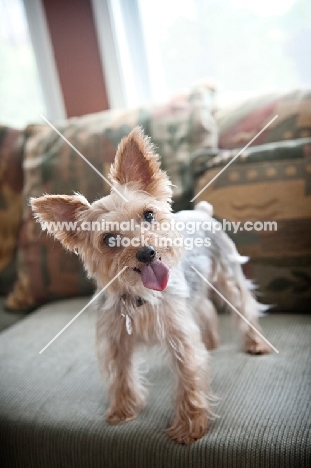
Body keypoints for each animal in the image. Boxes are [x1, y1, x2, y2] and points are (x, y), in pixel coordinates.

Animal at [30, 127, 272, 442]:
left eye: (148, 215)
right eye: (109, 239)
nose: (147, 252)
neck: (140, 296)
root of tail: (201, 211)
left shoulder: (180, 336)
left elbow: (189, 377)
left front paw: (189, 427)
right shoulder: (116, 340)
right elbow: (122, 375)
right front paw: (123, 410)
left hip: (228, 275)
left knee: (245, 305)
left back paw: (256, 343)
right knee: (205, 307)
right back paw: (211, 341)